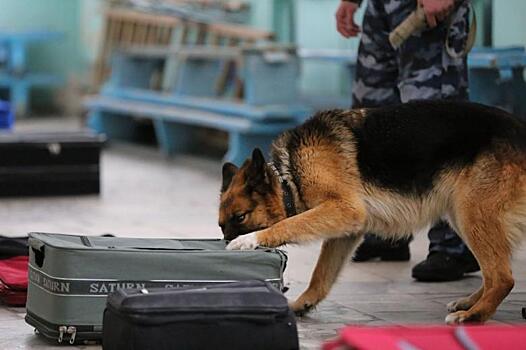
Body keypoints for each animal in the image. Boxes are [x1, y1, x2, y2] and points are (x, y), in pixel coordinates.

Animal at [219, 100, 526, 324]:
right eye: (221, 226)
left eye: (240, 218)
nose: (223, 246)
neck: (289, 176)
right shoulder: (345, 229)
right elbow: (321, 274)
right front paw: (302, 304)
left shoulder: (344, 210)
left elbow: (288, 225)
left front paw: (249, 240)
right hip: (462, 216)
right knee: (495, 272)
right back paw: (470, 302)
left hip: (471, 215)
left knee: (502, 277)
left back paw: (474, 315)